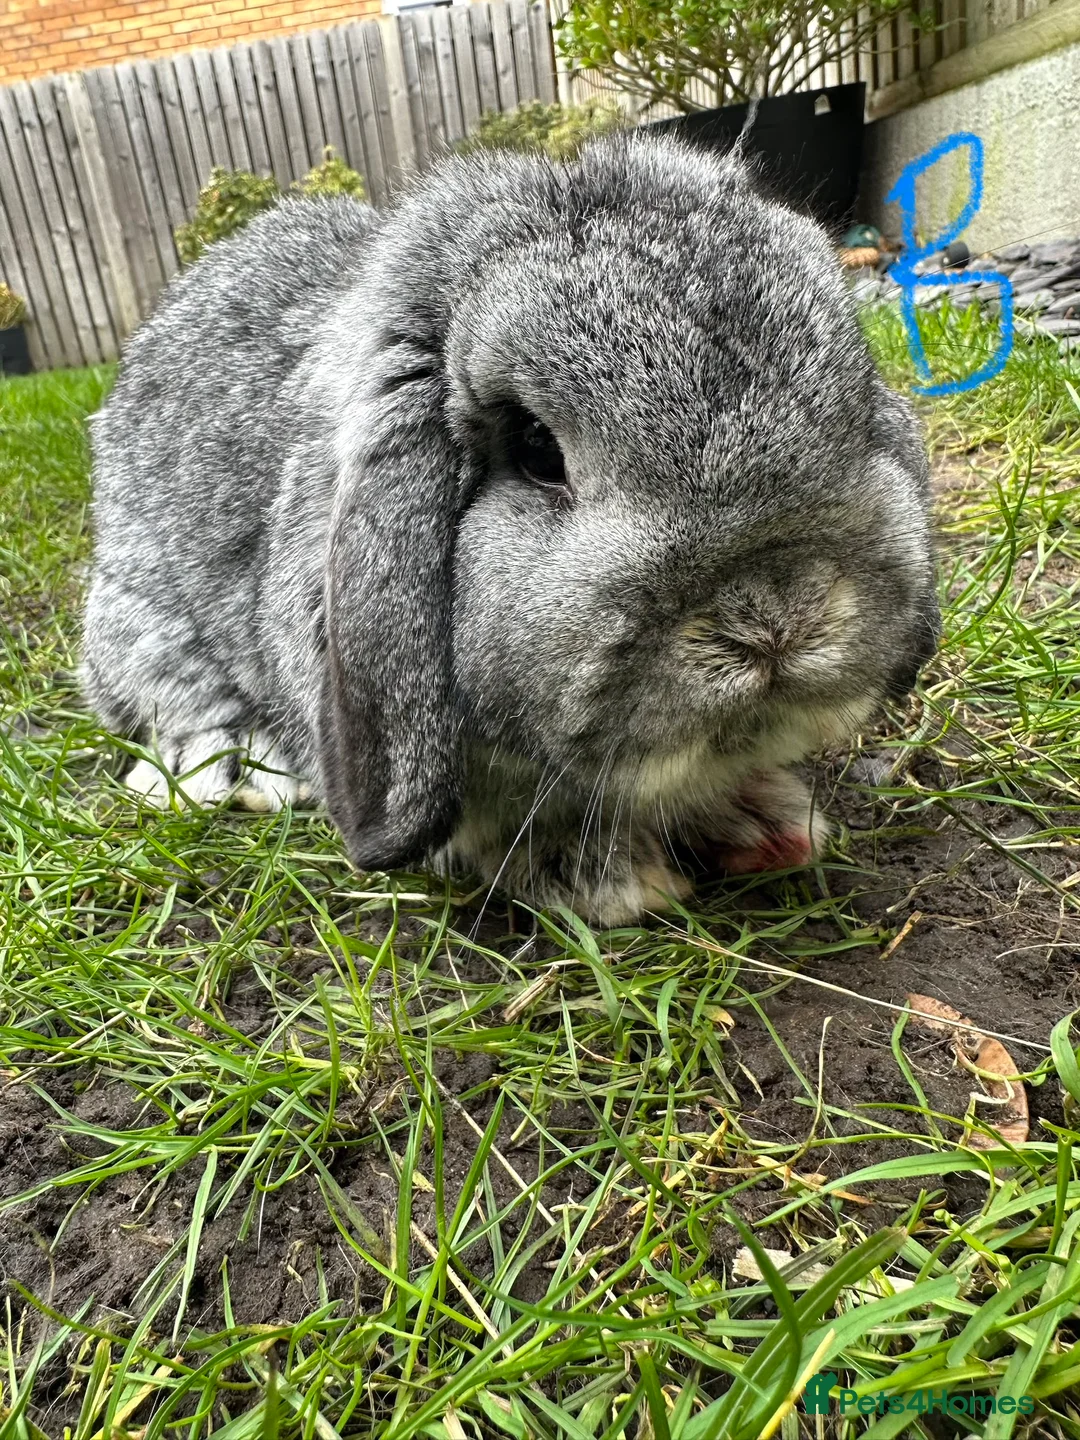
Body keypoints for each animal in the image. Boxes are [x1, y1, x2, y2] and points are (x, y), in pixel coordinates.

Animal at [82, 132, 940, 927]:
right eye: (536, 450)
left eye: (857, 395)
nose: (777, 618)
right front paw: (608, 882)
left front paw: (764, 822)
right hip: (141, 615)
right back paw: (237, 771)